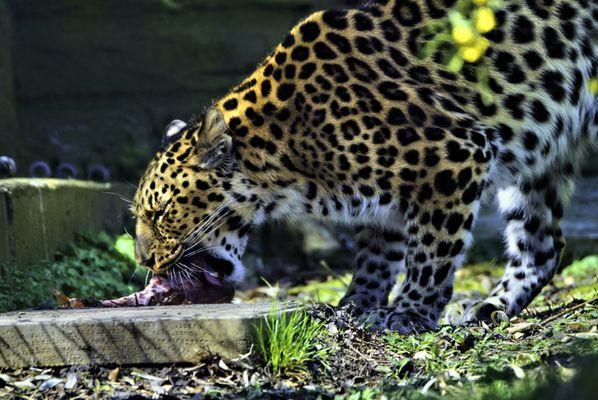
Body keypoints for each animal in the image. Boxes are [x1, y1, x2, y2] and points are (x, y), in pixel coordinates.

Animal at [132, 0, 598, 334]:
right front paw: (356, 304)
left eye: (161, 212)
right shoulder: (391, 195)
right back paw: (489, 306)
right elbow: (378, 252)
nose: (144, 261)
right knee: (542, 245)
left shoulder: (456, 154)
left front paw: (410, 313)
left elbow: (431, 252)